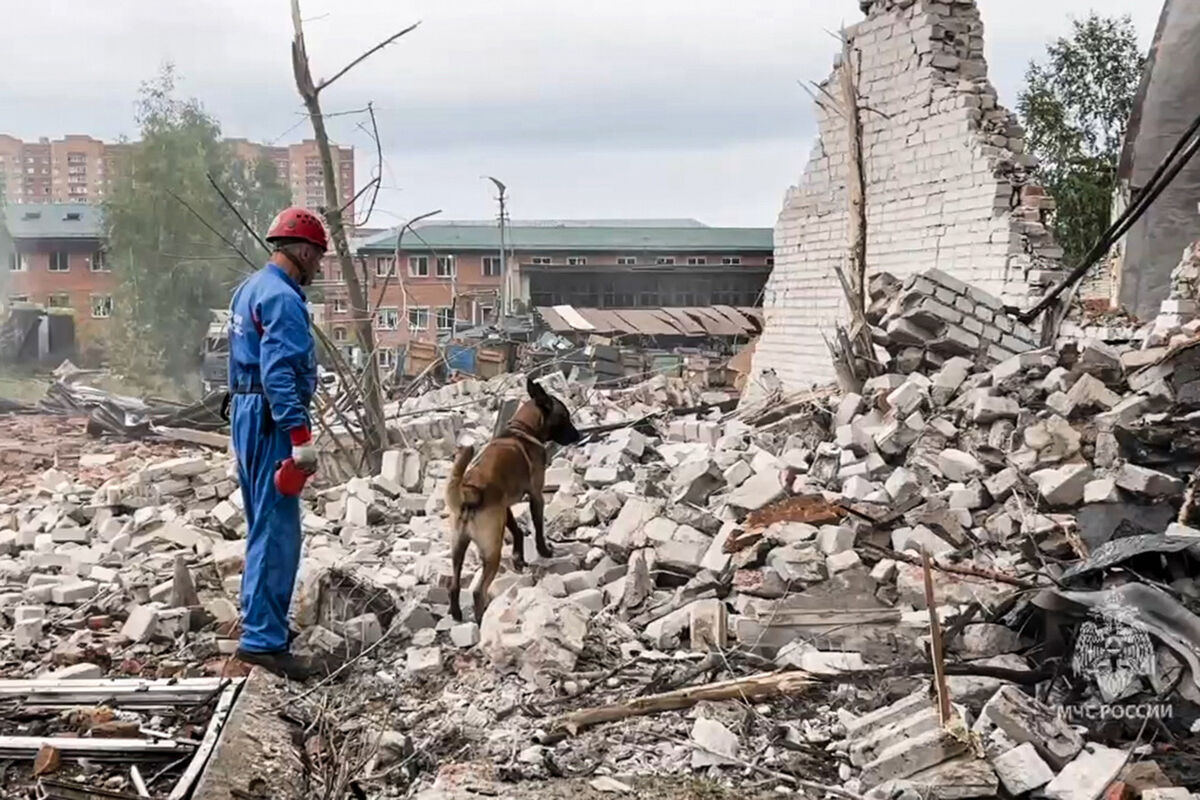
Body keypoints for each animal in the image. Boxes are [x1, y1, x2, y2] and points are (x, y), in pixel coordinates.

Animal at [448, 376, 583, 623]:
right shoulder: (536, 495)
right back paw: (482, 618)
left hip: (458, 548)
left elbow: (517, 530)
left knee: (453, 585)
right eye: (565, 417)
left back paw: (456, 614)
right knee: (478, 591)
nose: (577, 436)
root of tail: (469, 492)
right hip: (491, 551)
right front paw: (544, 551)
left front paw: (519, 558)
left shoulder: (505, 507)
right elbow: (538, 528)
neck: (522, 429)